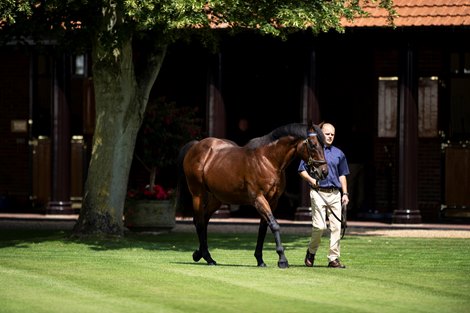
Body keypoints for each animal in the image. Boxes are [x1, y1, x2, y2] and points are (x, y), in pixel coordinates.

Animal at [176, 123, 326, 266]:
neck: (268, 160)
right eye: (313, 145)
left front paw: (260, 259)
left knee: (204, 219)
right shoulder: (258, 198)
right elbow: (274, 225)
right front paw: (282, 260)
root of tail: (196, 146)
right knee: (199, 222)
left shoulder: (272, 201)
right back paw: (207, 257)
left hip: (217, 198)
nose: (324, 171)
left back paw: (200, 254)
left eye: (324, 144)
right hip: (198, 194)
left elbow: (263, 228)